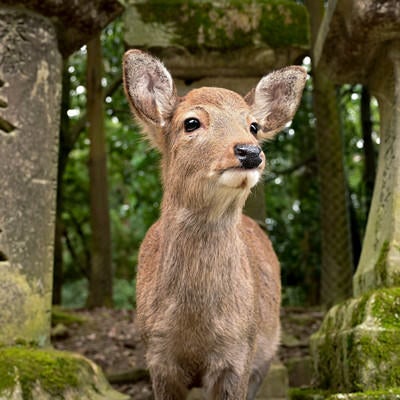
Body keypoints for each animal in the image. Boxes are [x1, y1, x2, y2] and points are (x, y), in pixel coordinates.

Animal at [122, 50, 306, 400]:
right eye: (191, 122)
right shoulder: (157, 355)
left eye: (253, 126)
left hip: (266, 351)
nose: (250, 151)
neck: (194, 327)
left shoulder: (240, 353)